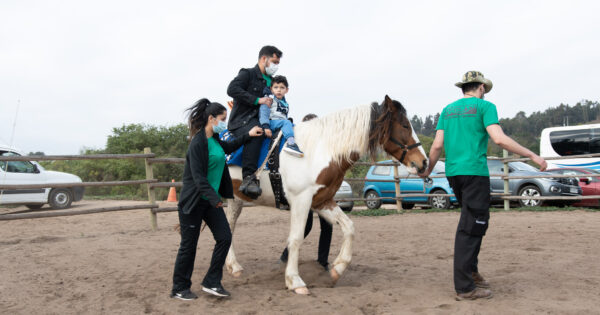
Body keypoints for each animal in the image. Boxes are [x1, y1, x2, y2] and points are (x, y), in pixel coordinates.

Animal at [224, 95, 426, 296]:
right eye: (405, 126)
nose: (423, 162)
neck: (317, 150)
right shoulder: (301, 201)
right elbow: (296, 238)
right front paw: (294, 280)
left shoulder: (322, 201)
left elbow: (349, 228)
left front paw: (337, 269)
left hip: (234, 200)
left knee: (229, 227)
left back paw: (233, 266)